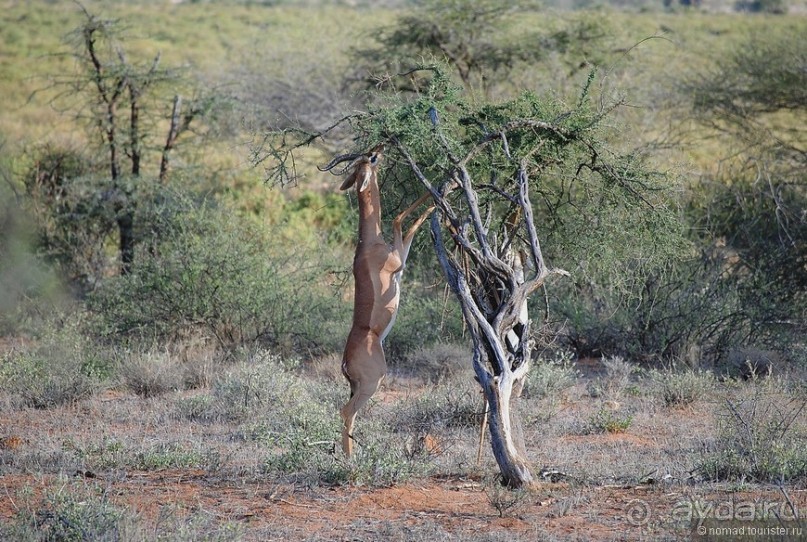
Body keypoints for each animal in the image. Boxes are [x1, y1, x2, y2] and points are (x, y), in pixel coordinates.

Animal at [322, 147, 436, 456]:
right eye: (371, 160)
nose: (379, 149)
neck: (370, 244)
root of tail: (345, 362)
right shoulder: (399, 261)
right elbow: (399, 218)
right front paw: (444, 188)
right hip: (372, 383)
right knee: (346, 411)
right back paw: (351, 459)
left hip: (358, 386)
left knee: (348, 413)